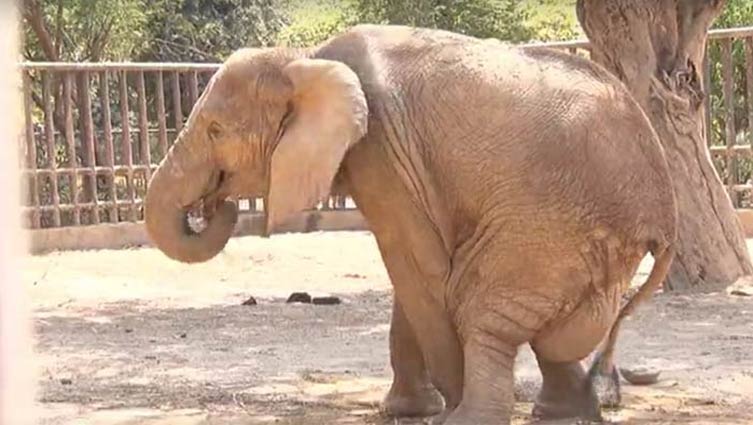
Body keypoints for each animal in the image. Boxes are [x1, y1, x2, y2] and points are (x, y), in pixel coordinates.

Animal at [144, 24, 677, 424]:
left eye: (216, 131)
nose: (216, 203)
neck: (304, 60)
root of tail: (665, 211)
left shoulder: (382, 150)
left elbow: (418, 266)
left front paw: (438, 410)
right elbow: (412, 269)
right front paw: (407, 411)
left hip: (549, 225)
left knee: (479, 305)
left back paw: (471, 419)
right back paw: (565, 415)